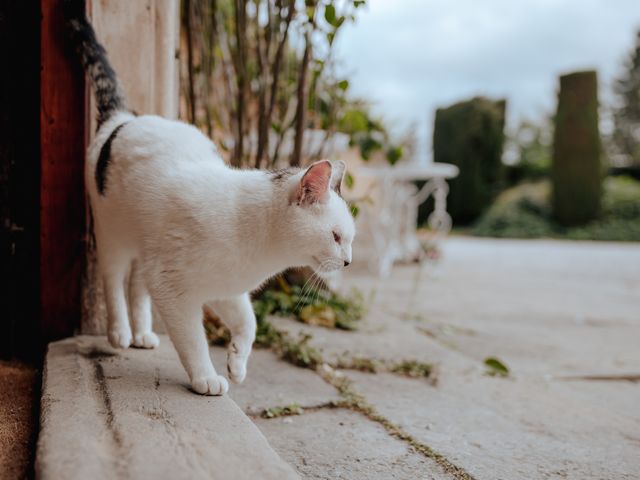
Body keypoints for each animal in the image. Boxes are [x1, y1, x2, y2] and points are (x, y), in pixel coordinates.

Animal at [66, 1, 356, 396]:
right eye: (336, 236)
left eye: (349, 239)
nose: (348, 262)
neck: (259, 246)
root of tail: (123, 118)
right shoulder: (171, 284)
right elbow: (192, 339)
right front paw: (205, 376)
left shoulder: (225, 287)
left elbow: (248, 322)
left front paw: (237, 361)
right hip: (112, 233)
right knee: (113, 279)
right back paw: (120, 332)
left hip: (146, 241)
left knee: (137, 284)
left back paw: (142, 333)